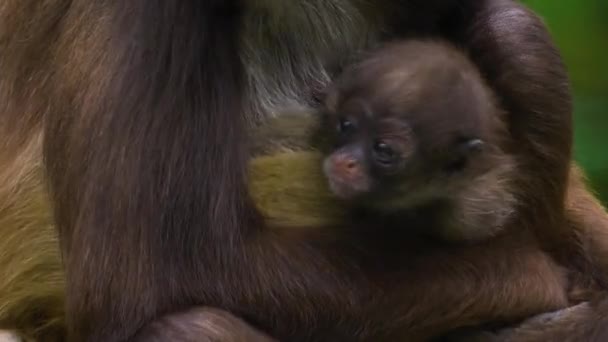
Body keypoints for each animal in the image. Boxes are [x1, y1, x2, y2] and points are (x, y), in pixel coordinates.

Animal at [0, 0, 604, 340]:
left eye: (384, 148)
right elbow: (148, 277)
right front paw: (548, 283)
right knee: (189, 325)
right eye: (345, 126)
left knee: (513, 30)